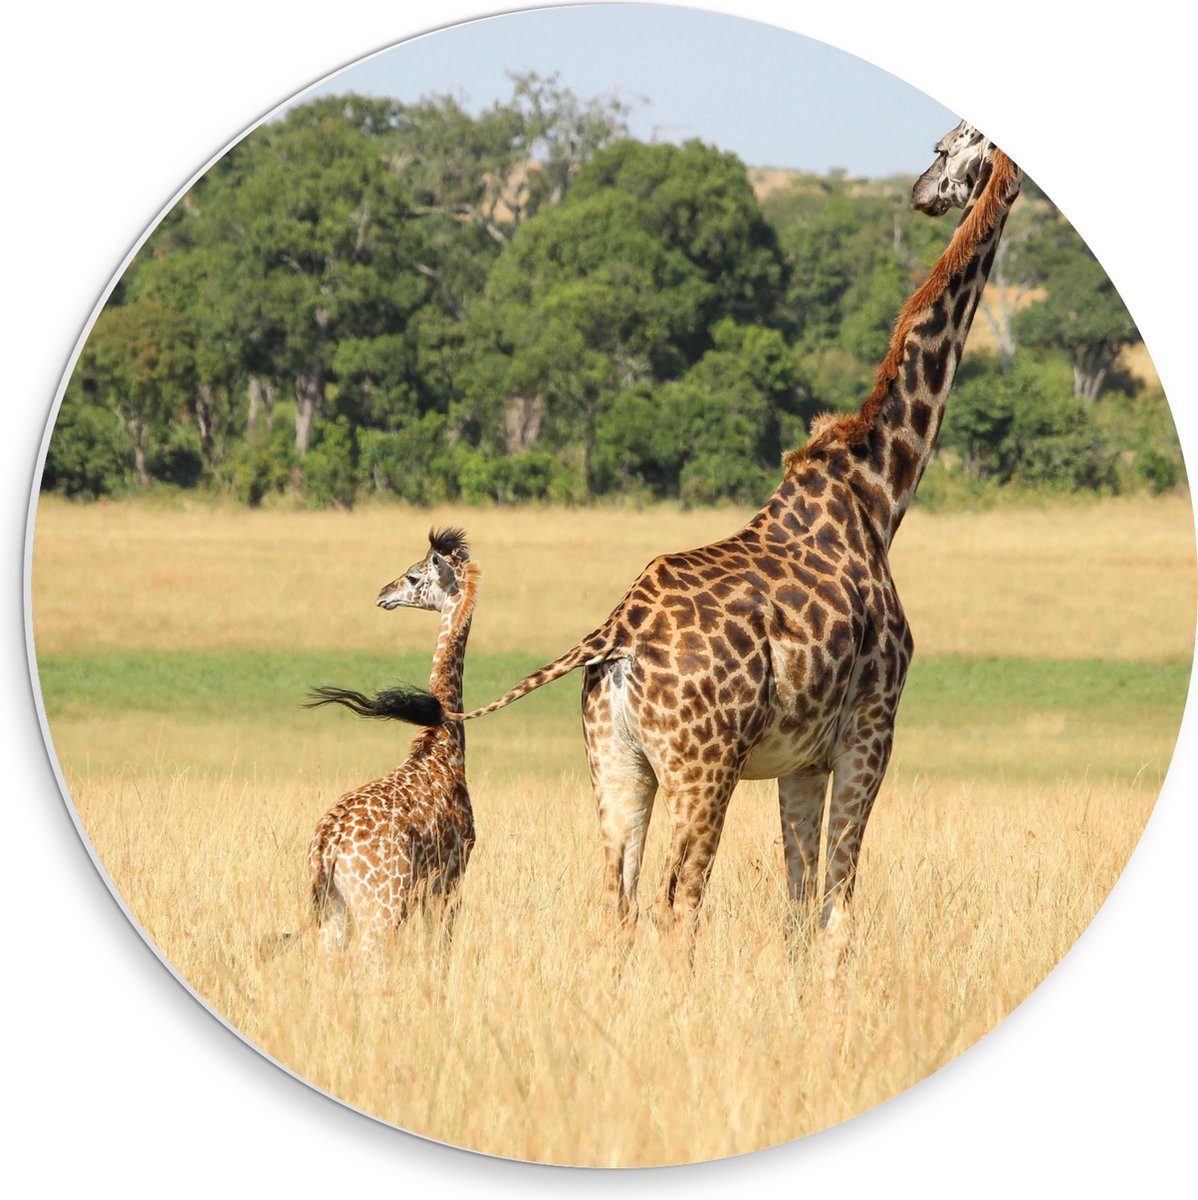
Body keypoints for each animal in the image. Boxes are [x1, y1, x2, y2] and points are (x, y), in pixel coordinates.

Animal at [303, 528, 478, 962]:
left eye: (414, 576)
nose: (384, 593)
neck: (443, 745)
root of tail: (326, 847)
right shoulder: (451, 877)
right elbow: (439, 951)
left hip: (335, 910)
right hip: (381, 908)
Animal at [377, 122, 1021, 949]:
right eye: (951, 145)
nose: (921, 191)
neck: (880, 491)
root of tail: (613, 635)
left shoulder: (802, 760)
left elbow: (798, 905)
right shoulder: (870, 729)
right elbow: (837, 906)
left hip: (617, 763)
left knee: (619, 902)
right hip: (702, 766)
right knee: (677, 901)